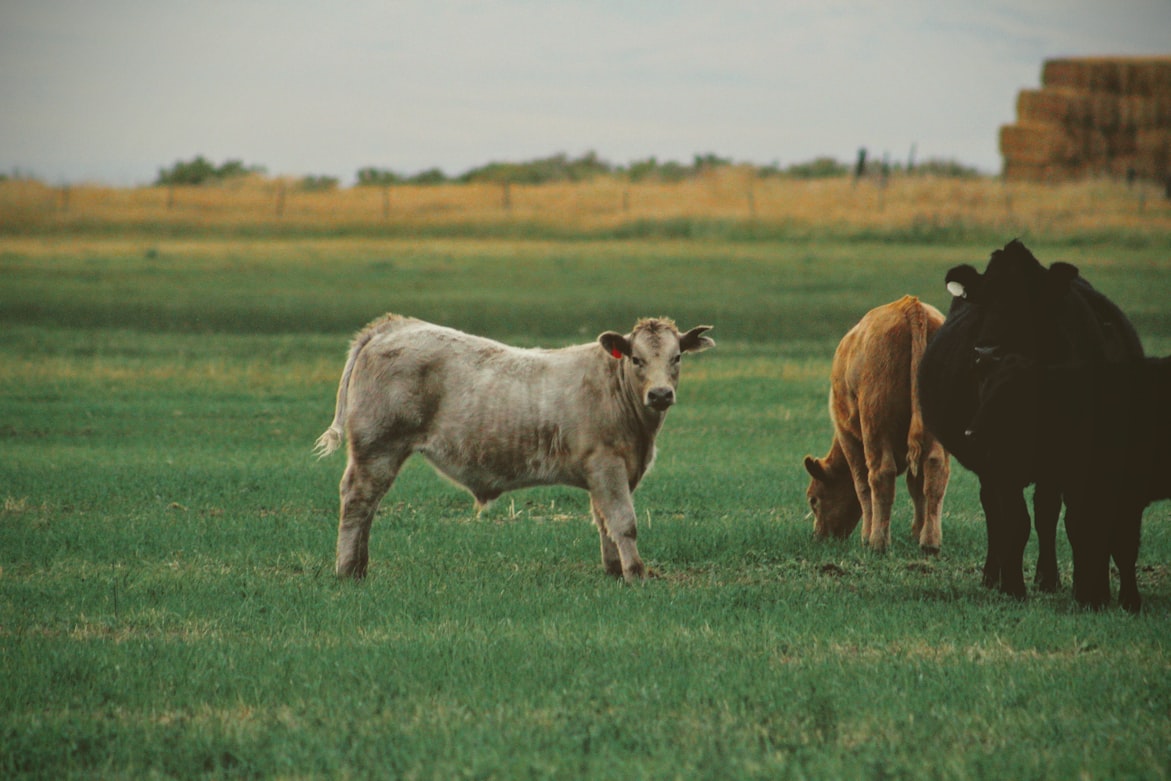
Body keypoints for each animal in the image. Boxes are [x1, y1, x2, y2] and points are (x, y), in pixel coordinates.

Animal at [314, 314, 715, 582]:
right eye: (636, 359)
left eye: (677, 357)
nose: (660, 394)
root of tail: (394, 326)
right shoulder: (608, 464)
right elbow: (624, 522)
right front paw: (636, 574)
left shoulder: (607, 473)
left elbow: (604, 522)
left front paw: (614, 571)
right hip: (376, 447)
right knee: (357, 502)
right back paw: (348, 570)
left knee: (367, 507)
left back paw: (360, 567)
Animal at [803, 295, 950, 553]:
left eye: (814, 499)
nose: (819, 536)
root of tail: (911, 305)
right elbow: (916, 485)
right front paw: (916, 533)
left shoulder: (849, 438)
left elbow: (862, 484)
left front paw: (866, 535)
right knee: (935, 469)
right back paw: (930, 542)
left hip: (875, 426)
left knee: (880, 475)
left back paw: (877, 542)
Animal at [918, 239, 1144, 606]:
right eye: (983, 300)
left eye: (1027, 302)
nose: (986, 352)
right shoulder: (998, 458)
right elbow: (1014, 521)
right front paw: (1012, 586)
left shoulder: (1073, 456)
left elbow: (1068, 520)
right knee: (996, 512)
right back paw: (992, 575)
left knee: (1046, 512)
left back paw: (1047, 578)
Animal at [965, 353, 1171, 612]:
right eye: (985, 391)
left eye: (1012, 395)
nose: (970, 434)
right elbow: (1087, 536)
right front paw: (1092, 597)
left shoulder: (1125, 497)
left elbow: (1120, 546)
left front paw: (1127, 602)